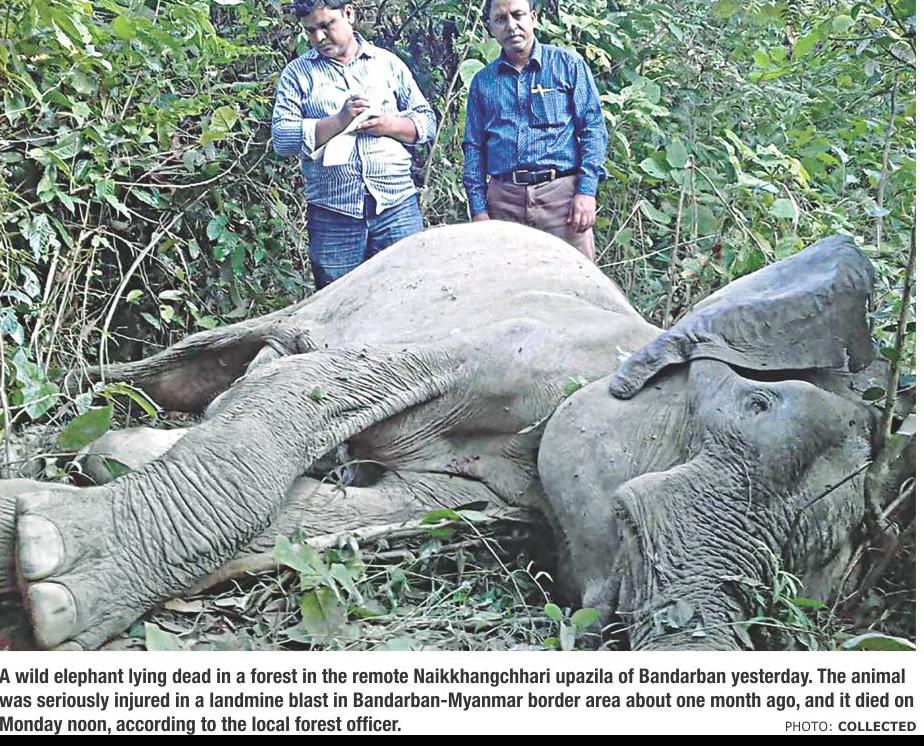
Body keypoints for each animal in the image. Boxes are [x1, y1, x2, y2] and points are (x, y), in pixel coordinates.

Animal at [0, 221, 898, 650]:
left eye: (800, 572)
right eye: (760, 413)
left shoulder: (493, 494)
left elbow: (351, 517)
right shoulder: (508, 343)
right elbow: (308, 392)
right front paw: (44, 566)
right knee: (197, 365)